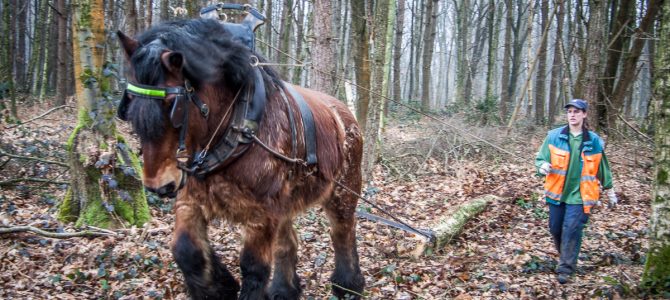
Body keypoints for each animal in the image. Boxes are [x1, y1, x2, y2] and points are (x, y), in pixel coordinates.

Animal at [118, 19, 364, 300]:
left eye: (173, 104)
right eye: (130, 101)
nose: (157, 186)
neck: (236, 129)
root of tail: (344, 113)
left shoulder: (261, 215)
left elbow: (254, 267)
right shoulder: (190, 199)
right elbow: (185, 250)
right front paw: (219, 288)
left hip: (342, 194)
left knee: (343, 233)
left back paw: (347, 286)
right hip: (286, 203)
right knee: (287, 242)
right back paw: (284, 290)